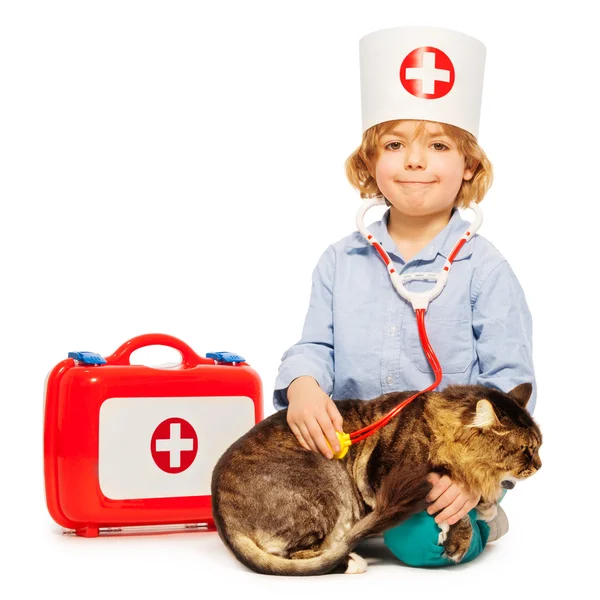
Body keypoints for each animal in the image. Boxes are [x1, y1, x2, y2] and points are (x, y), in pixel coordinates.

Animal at [212, 384, 544, 576]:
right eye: (526, 450)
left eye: (539, 445)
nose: (540, 466)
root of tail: (223, 515)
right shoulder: (382, 476)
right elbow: (457, 507)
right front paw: (459, 534)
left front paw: (484, 507)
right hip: (327, 483)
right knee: (302, 555)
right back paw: (351, 561)